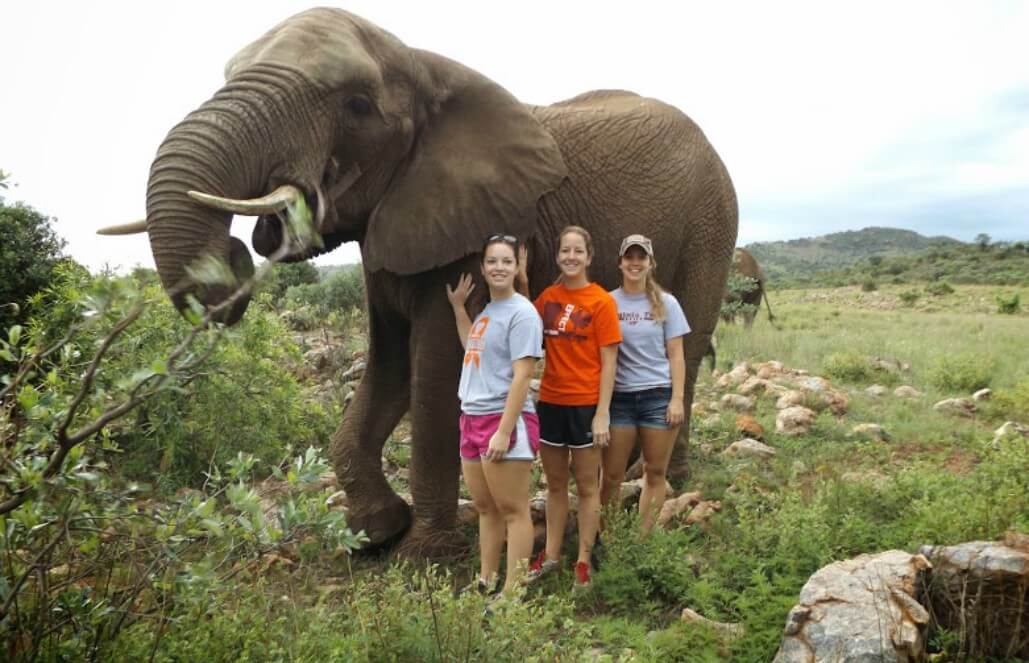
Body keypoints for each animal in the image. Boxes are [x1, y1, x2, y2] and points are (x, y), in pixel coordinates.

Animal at [106, 10, 740, 555]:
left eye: (358, 105)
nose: (234, 255)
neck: (423, 64)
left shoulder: (474, 229)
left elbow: (434, 371)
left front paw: (422, 556)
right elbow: (389, 361)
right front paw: (375, 532)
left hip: (712, 224)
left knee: (688, 344)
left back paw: (664, 481)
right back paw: (627, 472)